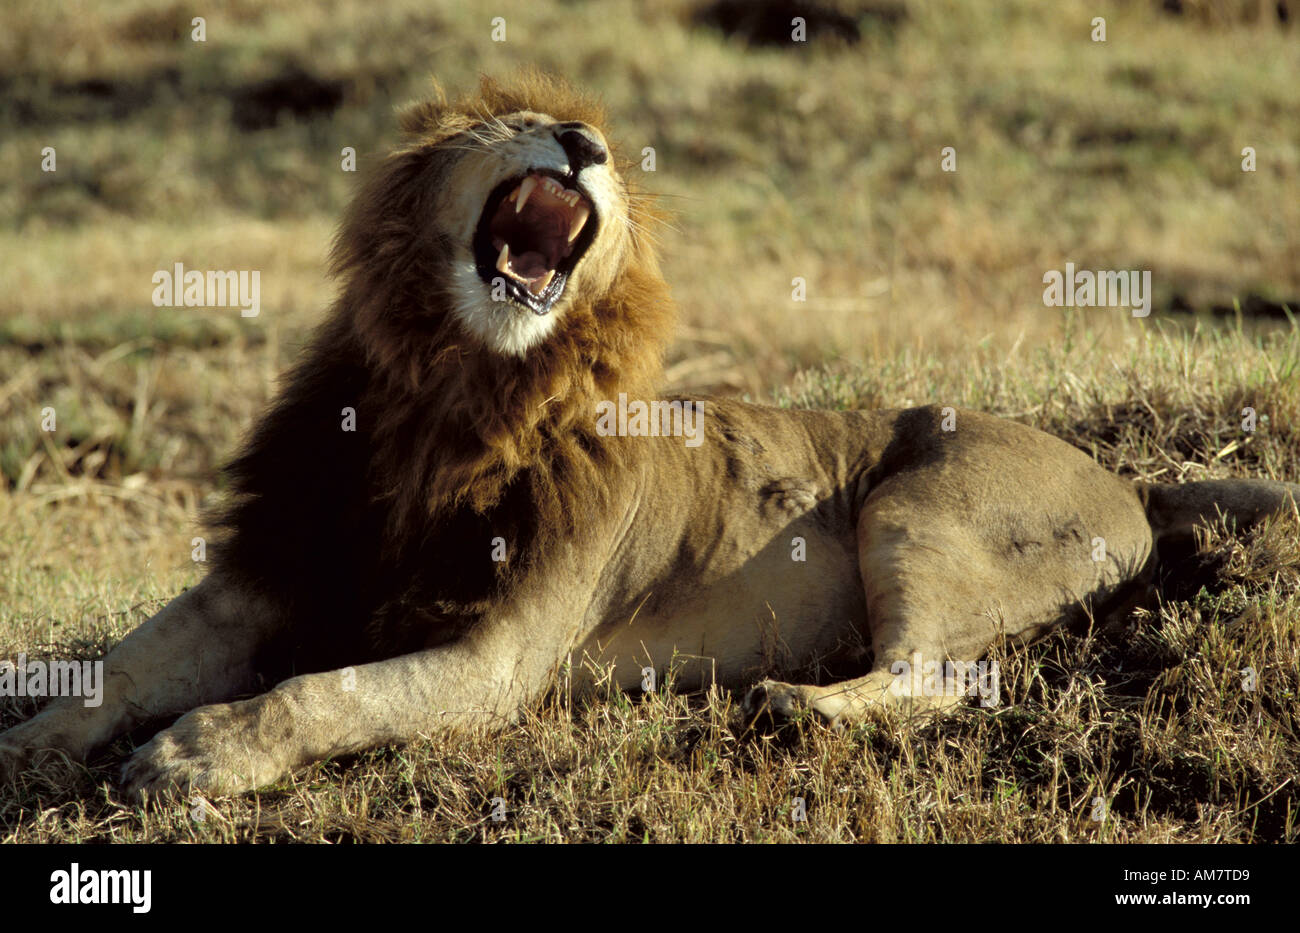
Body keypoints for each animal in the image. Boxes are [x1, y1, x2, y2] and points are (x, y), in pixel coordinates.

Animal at [2, 72, 1297, 799]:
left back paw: (798, 708)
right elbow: (120, 668)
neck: (452, 393)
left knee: (941, 676)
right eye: (524, 123)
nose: (579, 144)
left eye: (608, 158)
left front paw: (193, 759)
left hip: (919, 507)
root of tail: (1127, 479)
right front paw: (36, 741)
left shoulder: (497, 659)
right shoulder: (265, 574)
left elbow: (317, 697)